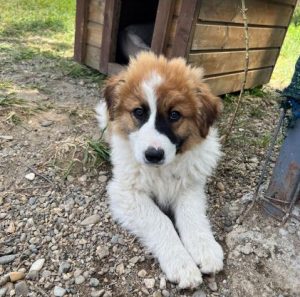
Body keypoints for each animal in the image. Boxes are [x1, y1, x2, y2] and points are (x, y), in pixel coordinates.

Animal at [96, 52, 223, 288]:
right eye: (138, 112)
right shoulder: (126, 192)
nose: (153, 155)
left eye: (174, 115)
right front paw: (181, 263)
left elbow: (192, 216)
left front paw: (205, 248)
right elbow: (160, 221)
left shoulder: (190, 186)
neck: (161, 170)